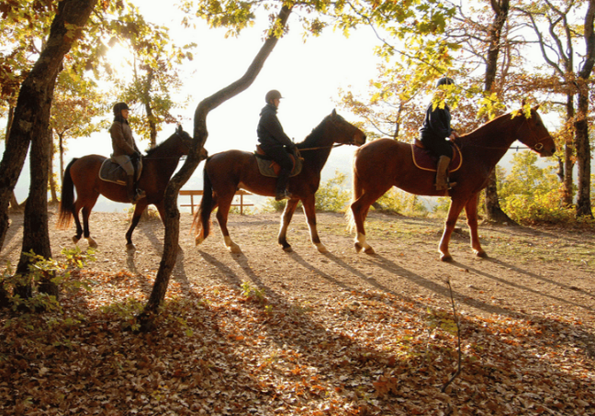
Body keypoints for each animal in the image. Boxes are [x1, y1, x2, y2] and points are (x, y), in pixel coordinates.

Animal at [56, 125, 193, 250]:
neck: (155, 167)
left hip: (93, 194)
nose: (198, 151)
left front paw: (175, 245)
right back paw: (78, 235)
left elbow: (165, 219)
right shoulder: (142, 201)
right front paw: (129, 241)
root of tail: (78, 160)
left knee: (85, 212)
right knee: (75, 208)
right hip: (84, 193)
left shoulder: (159, 201)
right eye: (187, 139)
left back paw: (89, 239)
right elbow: (135, 220)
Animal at [193, 109, 366, 254]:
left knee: (206, 211)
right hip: (226, 193)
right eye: (341, 123)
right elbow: (311, 220)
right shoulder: (307, 196)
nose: (363, 137)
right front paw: (319, 244)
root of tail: (213, 157)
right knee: (221, 217)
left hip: (220, 194)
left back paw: (200, 238)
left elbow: (286, 218)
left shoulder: (295, 197)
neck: (307, 158)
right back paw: (231, 245)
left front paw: (284, 243)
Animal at [350, 107, 560, 262]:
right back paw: (364, 244)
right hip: (377, 187)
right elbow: (450, 222)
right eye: (537, 123)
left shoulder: (473, 194)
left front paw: (478, 250)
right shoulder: (461, 195)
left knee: (362, 211)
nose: (552, 148)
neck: (477, 151)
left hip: (372, 188)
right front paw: (445, 252)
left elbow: (472, 222)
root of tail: (362, 149)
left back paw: (361, 244)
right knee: (357, 207)